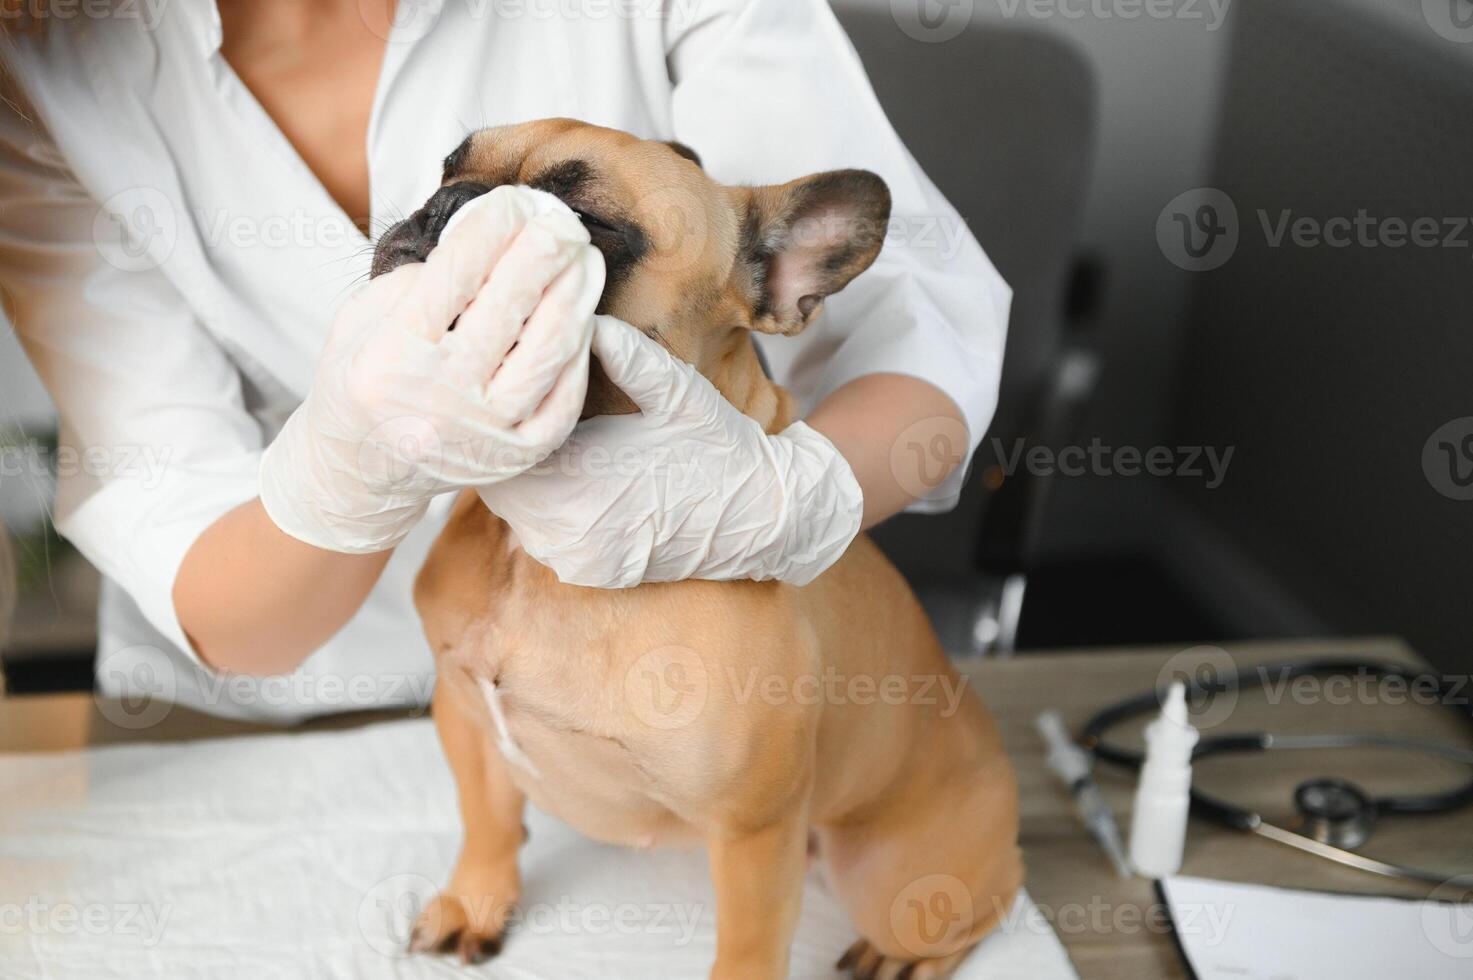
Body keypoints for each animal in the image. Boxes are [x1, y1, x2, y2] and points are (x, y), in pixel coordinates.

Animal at [374, 118, 1019, 972]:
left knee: (977, 905)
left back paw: (904, 956)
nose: (449, 204)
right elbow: (487, 822)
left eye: (588, 223)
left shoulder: (753, 828)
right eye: (448, 167)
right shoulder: (467, 716)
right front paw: (477, 900)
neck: (535, 550)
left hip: (891, 872)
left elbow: (747, 949)